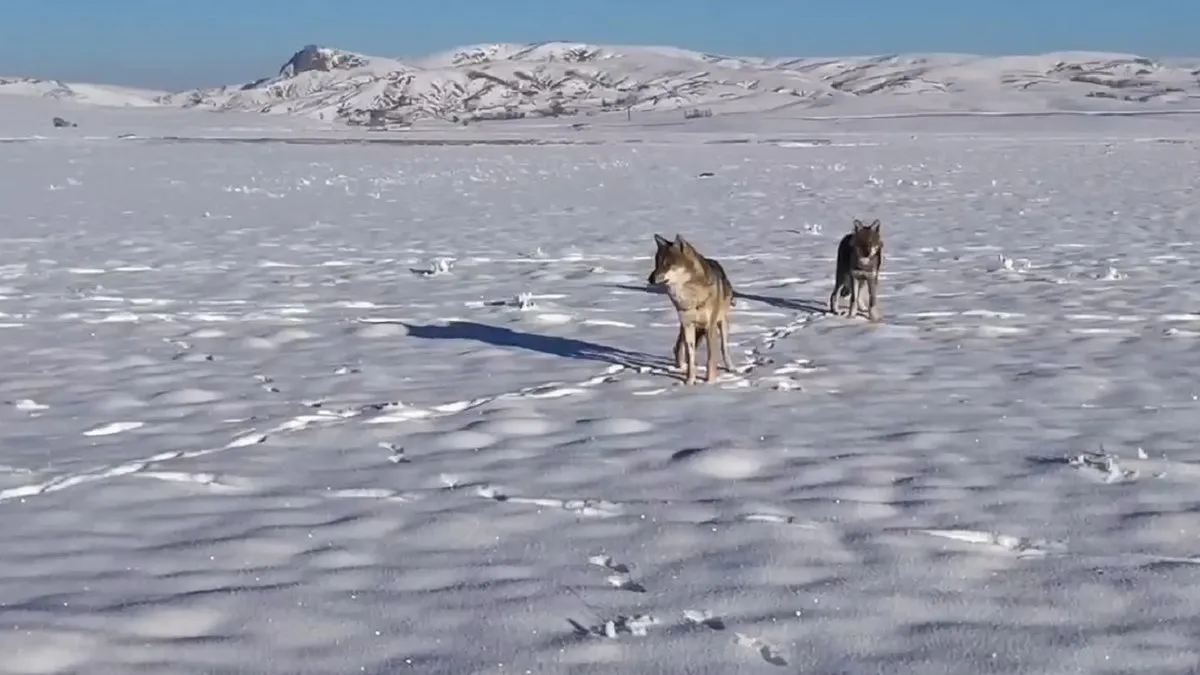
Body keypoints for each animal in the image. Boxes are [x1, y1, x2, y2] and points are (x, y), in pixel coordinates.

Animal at [652, 233, 734, 384]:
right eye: (657, 264)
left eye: (667, 264)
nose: (649, 279)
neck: (691, 297)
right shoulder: (687, 325)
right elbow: (691, 356)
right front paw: (689, 382)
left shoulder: (709, 326)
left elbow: (710, 358)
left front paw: (710, 382)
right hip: (685, 328)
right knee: (679, 346)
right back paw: (680, 366)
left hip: (722, 324)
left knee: (724, 347)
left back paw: (731, 367)